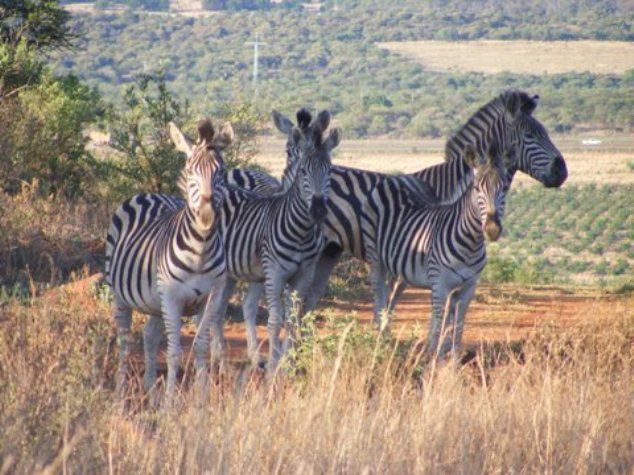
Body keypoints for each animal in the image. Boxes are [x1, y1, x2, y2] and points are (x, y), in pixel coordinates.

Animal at [103, 118, 232, 398]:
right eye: (191, 171)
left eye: (221, 172)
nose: (206, 215)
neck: (201, 250)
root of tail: (148, 194)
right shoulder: (172, 297)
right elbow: (174, 353)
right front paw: (171, 402)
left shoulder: (211, 297)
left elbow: (201, 347)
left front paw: (201, 400)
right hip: (121, 296)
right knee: (125, 342)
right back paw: (120, 394)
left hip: (153, 301)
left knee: (150, 337)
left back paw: (151, 391)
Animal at [204, 111, 340, 372]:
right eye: (289, 149)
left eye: (330, 170)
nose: (318, 210)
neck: (301, 231)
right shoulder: (273, 272)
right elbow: (275, 319)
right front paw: (275, 364)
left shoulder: (304, 273)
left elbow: (294, 317)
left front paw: (289, 361)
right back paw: (218, 357)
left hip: (232, 271)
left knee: (220, 308)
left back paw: (225, 357)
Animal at [360, 145, 504, 356]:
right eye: (477, 189)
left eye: (504, 188)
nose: (493, 229)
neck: (470, 245)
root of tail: (394, 178)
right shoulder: (440, 283)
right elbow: (439, 322)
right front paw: (434, 356)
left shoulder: (468, 287)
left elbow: (458, 325)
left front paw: (452, 358)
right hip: (375, 255)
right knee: (379, 292)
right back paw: (379, 338)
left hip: (398, 264)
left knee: (390, 294)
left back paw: (386, 334)